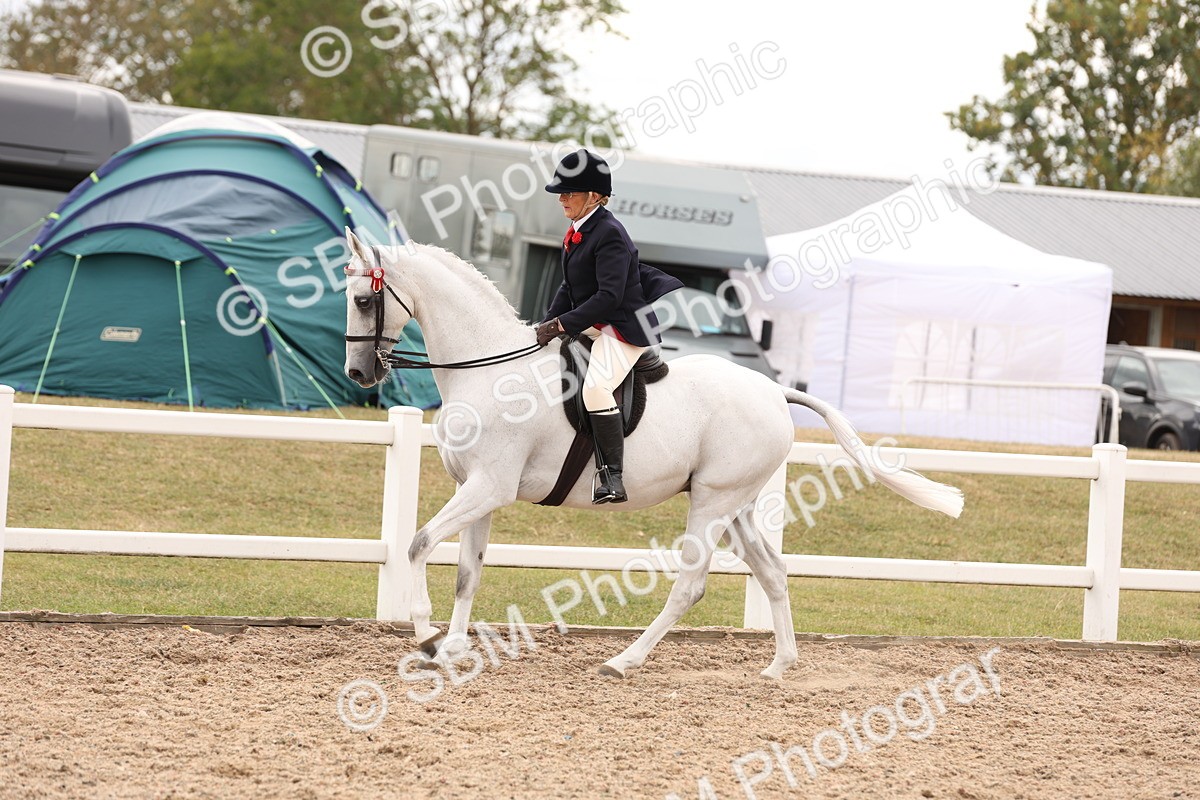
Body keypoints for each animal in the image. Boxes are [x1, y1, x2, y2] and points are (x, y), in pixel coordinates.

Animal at [341, 230, 964, 679]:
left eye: (364, 299)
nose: (358, 374)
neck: (489, 368)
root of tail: (773, 391)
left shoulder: (487, 488)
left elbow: (419, 543)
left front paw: (425, 638)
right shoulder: (479, 492)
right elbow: (467, 575)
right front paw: (450, 650)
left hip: (711, 504)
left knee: (691, 585)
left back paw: (624, 661)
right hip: (735, 506)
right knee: (772, 571)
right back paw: (779, 666)